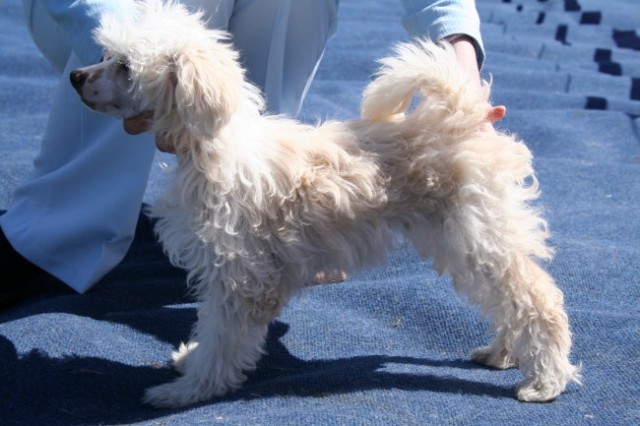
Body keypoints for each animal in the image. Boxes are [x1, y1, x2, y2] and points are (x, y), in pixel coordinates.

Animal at [69, 0, 580, 408]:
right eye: (106, 56)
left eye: (124, 67)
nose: (75, 77)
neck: (216, 146)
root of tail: (460, 113)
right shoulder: (229, 275)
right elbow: (211, 327)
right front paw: (190, 363)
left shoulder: (241, 275)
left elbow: (222, 339)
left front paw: (189, 390)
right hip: (466, 240)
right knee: (510, 299)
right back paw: (504, 354)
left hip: (478, 233)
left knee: (538, 300)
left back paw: (546, 380)